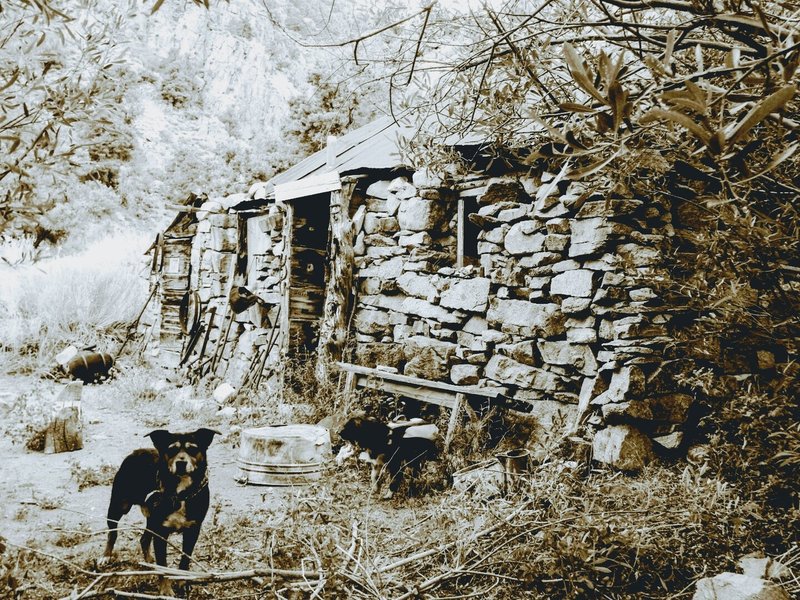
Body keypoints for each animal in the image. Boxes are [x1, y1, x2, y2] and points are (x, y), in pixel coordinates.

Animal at [99, 428, 219, 592]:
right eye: (171, 449)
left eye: (193, 449)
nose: (181, 463)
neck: (180, 494)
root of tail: (136, 452)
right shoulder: (161, 532)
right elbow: (163, 563)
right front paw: (166, 590)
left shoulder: (192, 530)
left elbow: (185, 558)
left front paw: (182, 581)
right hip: (119, 506)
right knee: (112, 532)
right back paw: (106, 555)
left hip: (151, 518)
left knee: (144, 540)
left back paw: (149, 562)